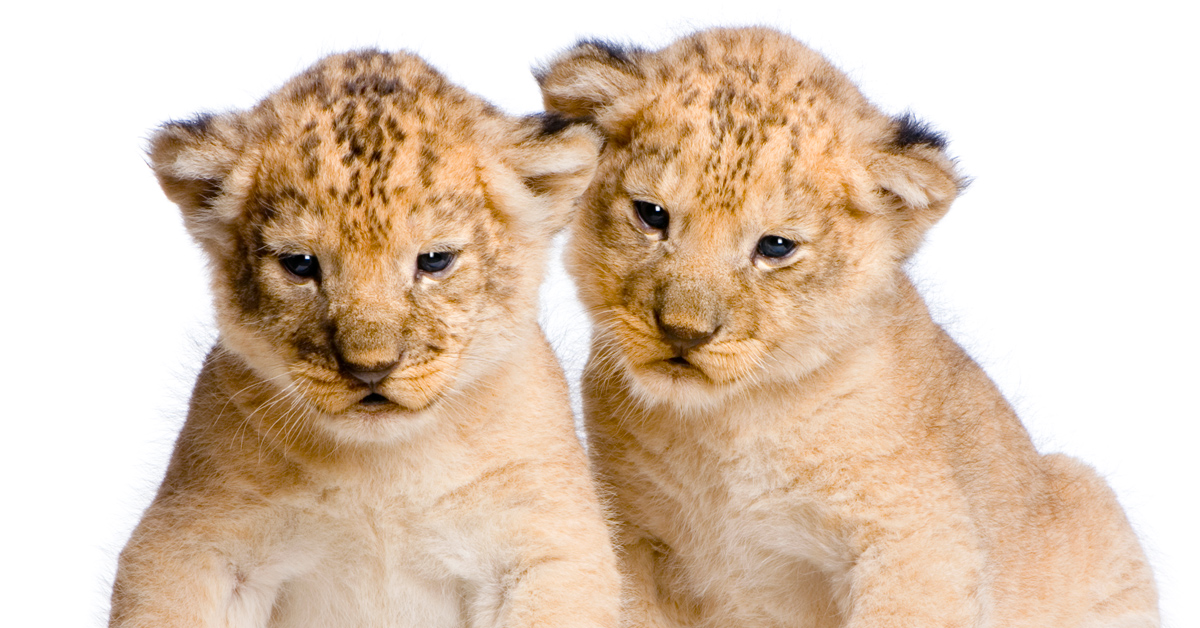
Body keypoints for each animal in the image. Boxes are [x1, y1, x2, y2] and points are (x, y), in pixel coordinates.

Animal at [109, 50, 619, 628]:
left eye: (435, 260)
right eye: (300, 264)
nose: (371, 368)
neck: (382, 470)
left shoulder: (552, 547)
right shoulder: (188, 540)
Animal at [538, 27, 1158, 628]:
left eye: (776, 247)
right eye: (652, 215)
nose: (684, 332)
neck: (724, 428)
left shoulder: (920, 541)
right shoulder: (625, 533)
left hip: (1088, 499)